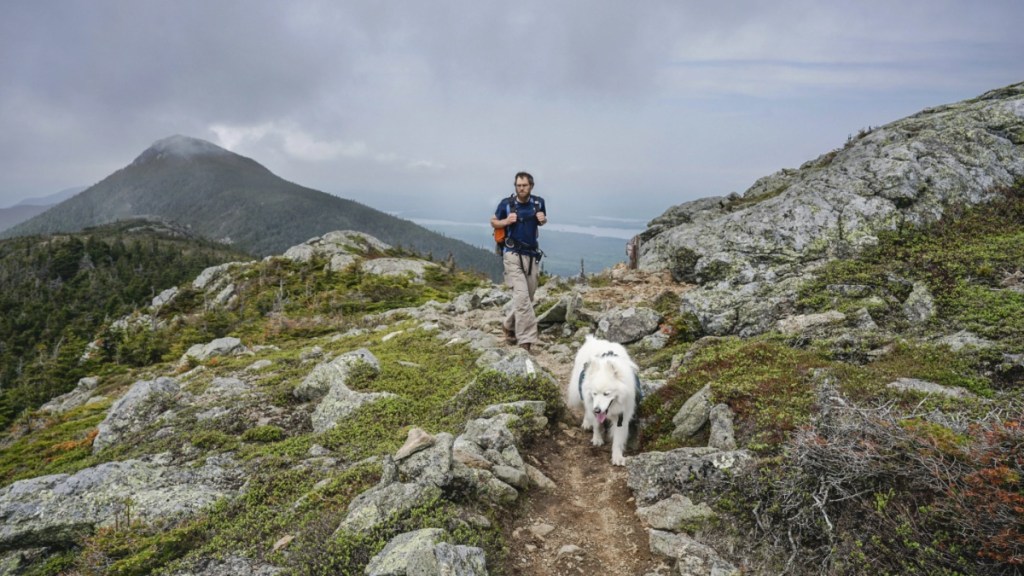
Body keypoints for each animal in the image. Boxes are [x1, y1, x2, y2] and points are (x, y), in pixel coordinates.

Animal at [569, 334, 638, 463]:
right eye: (595, 393)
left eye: (606, 394)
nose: (597, 410)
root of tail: (593, 340)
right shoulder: (592, 405)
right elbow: (596, 425)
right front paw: (597, 439)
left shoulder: (622, 416)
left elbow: (618, 439)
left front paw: (617, 457)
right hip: (579, 393)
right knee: (585, 408)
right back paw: (586, 422)